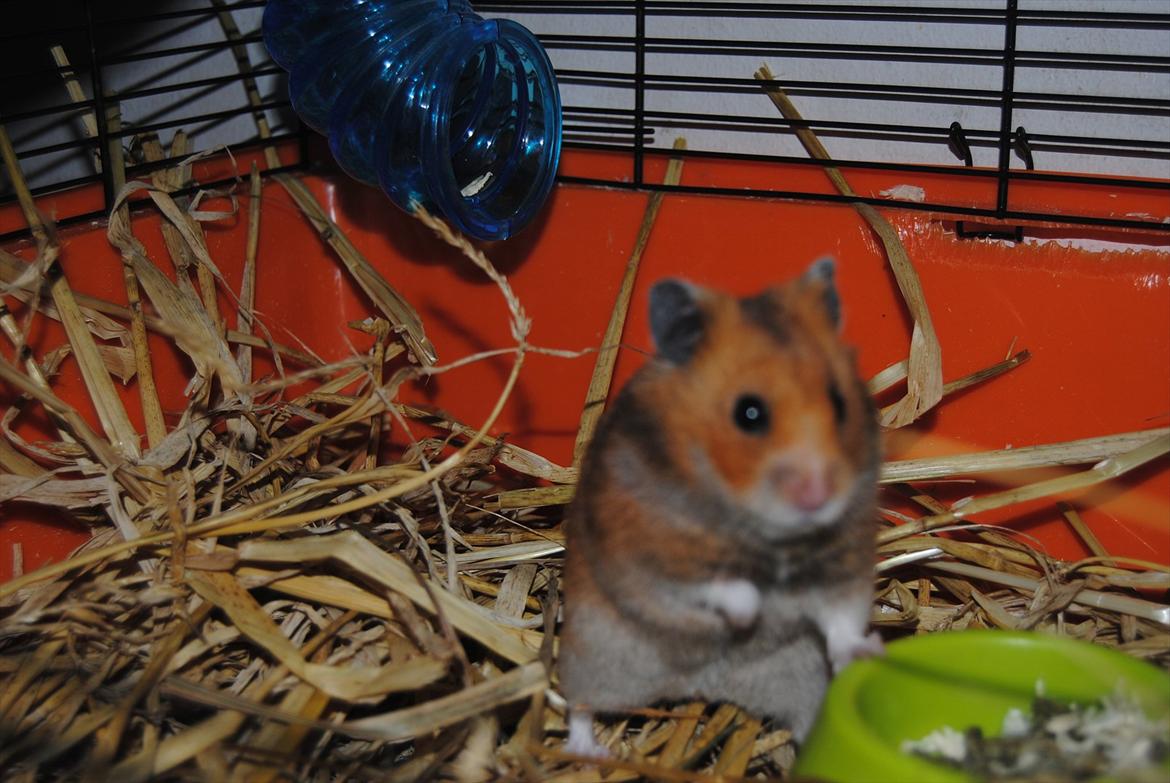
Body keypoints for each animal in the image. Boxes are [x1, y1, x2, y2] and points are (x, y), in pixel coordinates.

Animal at [558, 258, 882, 758]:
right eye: (749, 413)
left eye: (839, 401)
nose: (817, 496)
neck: (768, 532)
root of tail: (701, 687)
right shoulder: (650, 555)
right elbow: (722, 587)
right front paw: (752, 613)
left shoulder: (844, 566)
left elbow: (841, 619)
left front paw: (868, 650)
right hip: (595, 657)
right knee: (579, 705)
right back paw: (590, 753)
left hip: (800, 679)